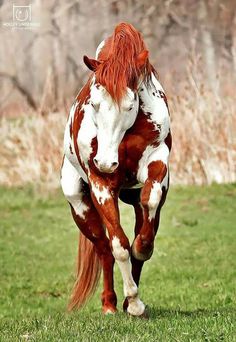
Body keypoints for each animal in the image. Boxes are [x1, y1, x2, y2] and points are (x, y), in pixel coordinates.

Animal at [60, 22, 171, 318]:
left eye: (130, 105)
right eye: (94, 104)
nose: (106, 162)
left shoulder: (158, 162)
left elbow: (148, 207)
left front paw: (141, 251)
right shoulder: (102, 185)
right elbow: (118, 246)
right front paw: (134, 302)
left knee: (143, 223)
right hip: (81, 207)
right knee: (104, 249)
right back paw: (110, 304)